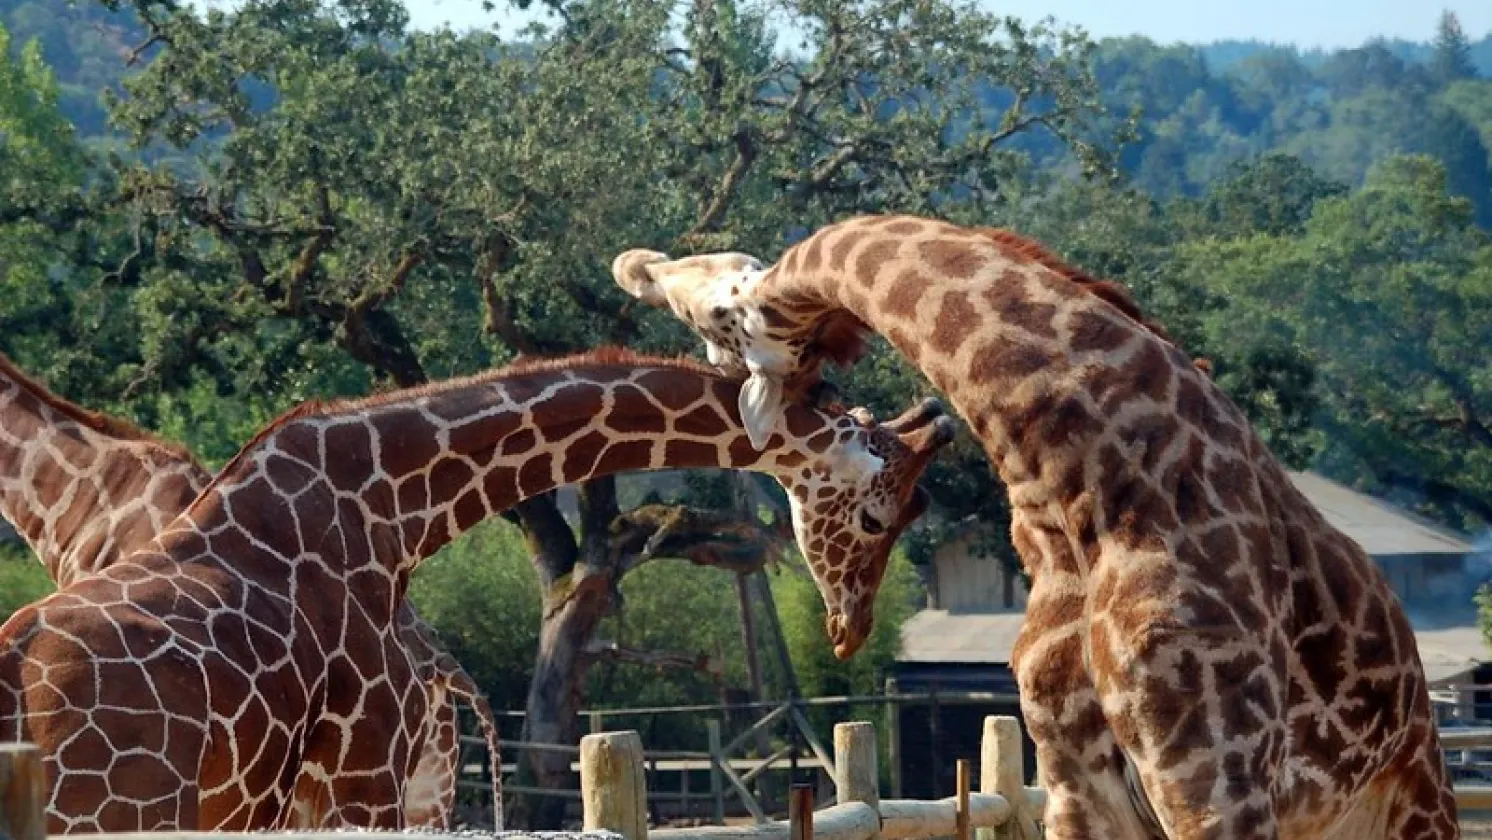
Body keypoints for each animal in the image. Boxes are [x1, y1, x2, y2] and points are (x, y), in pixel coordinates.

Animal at [612, 216, 1459, 839]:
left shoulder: (1214, 781)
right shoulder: (1075, 781)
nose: (634, 263)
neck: (1085, 492)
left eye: (720, 306)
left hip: (1412, 807)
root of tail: (1422, 704)